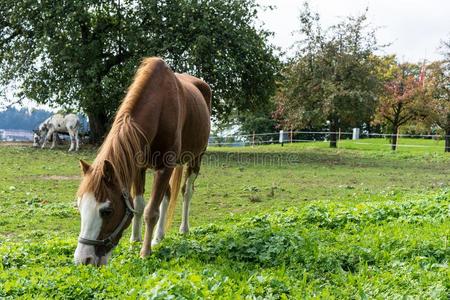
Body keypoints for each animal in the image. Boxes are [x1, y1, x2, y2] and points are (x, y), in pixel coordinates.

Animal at [74, 57, 212, 266]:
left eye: (107, 211)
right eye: (81, 207)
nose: (84, 259)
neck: (160, 108)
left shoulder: (165, 167)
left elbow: (150, 211)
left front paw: (145, 252)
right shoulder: (138, 168)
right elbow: (138, 207)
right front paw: (134, 242)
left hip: (196, 158)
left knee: (186, 192)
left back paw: (183, 229)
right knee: (167, 195)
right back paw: (158, 237)